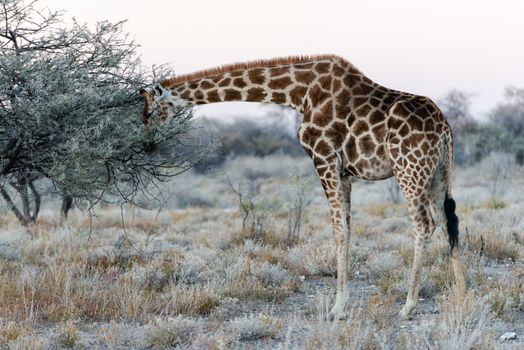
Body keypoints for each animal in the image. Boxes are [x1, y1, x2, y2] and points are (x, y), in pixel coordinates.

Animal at [139, 54, 466, 320]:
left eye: (151, 112)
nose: (148, 145)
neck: (299, 94)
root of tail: (444, 128)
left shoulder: (324, 159)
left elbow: (338, 229)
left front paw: (337, 308)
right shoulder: (344, 172)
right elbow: (347, 227)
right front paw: (341, 304)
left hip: (409, 170)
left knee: (424, 224)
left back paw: (409, 306)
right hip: (439, 173)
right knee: (448, 221)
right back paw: (462, 295)